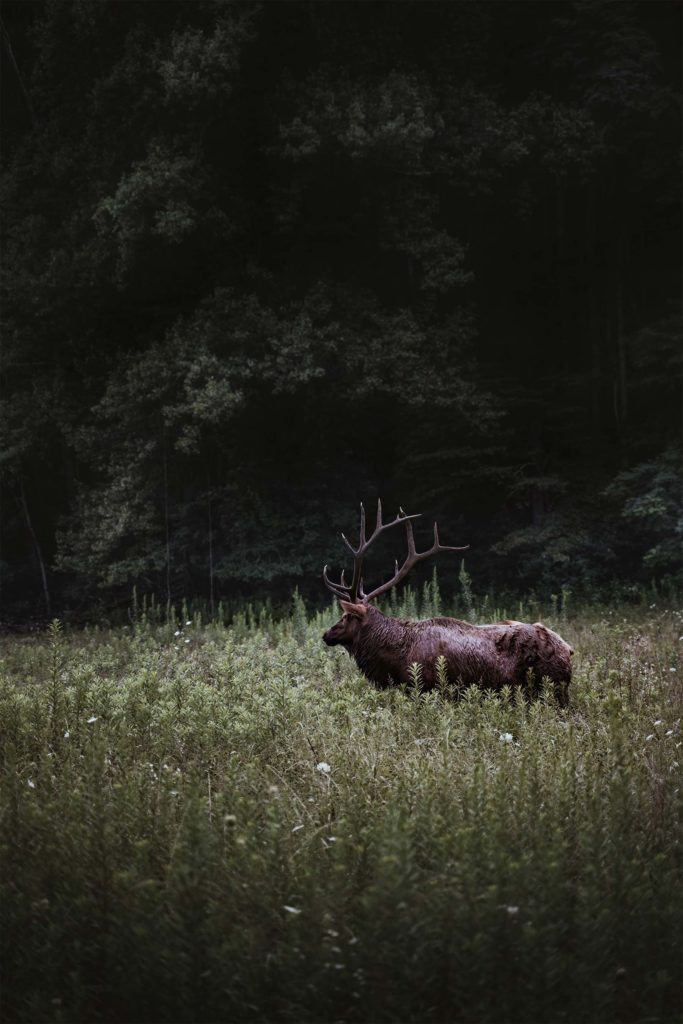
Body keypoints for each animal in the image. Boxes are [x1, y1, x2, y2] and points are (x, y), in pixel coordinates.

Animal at [323, 501, 573, 708]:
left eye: (346, 617)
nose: (326, 634)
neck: (395, 658)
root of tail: (569, 649)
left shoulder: (426, 688)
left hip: (551, 689)